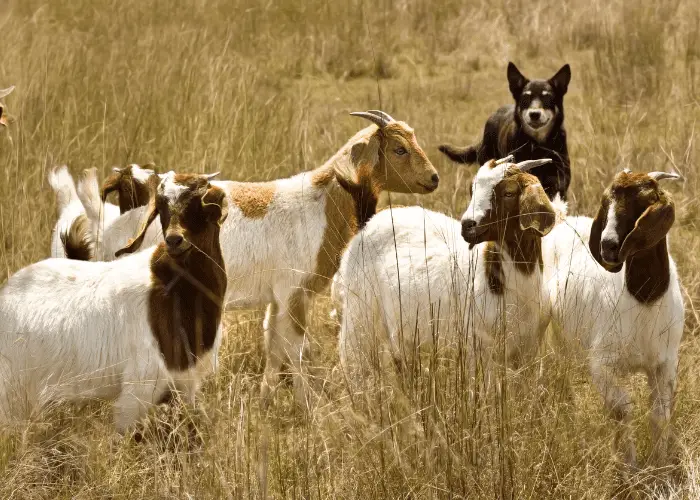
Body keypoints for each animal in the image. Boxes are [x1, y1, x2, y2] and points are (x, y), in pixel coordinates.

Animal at [334, 156, 556, 382]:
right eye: (473, 190)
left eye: (509, 193)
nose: (468, 225)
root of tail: (368, 222)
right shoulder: (478, 347)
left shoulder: (527, 350)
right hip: (359, 313)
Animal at [544, 169, 688, 468]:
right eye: (606, 203)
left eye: (644, 200)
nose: (608, 245)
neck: (644, 299)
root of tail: (562, 219)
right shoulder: (602, 363)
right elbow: (622, 410)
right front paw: (629, 466)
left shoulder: (665, 363)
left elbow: (659, 415)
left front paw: (659, 464)